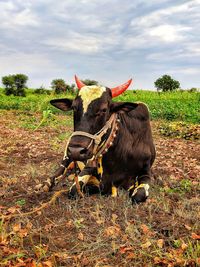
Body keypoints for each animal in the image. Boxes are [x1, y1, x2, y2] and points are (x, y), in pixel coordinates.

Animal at [48, 76, 156, 204]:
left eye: (104, 109)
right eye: (74, 107)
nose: (76, 151)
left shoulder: (147, 171)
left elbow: (139, 195)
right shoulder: (89, 166)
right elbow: (74, 190)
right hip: (67, 155)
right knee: (61, 168)